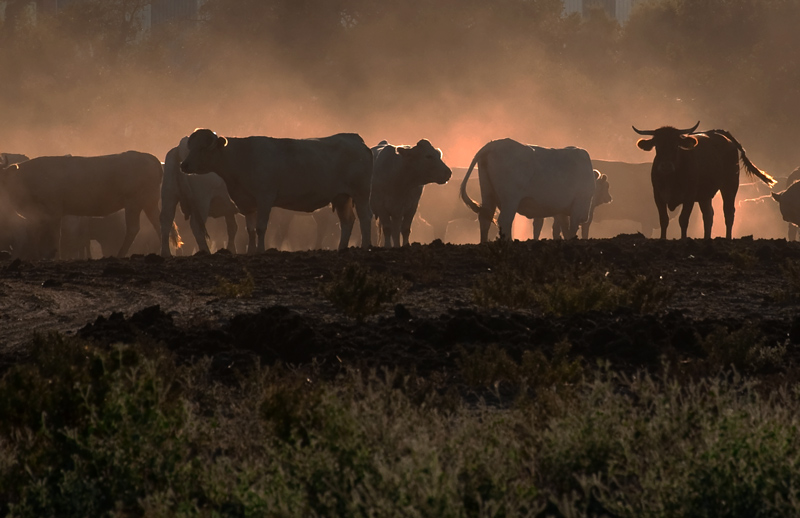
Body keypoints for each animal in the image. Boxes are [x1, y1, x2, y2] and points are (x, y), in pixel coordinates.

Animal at [0, 153, 164, 260]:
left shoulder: (54, 211)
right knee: (159, 223)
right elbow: (36, 234)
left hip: (134, 203)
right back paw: (165, 252)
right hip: (149, 202)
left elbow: (55, 235)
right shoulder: (36, 216)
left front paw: (56, 257)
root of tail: (149, 157)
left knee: (133, 229)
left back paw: (120, 255)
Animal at [180, 129, 374, 253]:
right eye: (191, 146)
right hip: (341, 197)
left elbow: (260, 228)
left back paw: (366, 246)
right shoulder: (247, 203)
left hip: (361, 194)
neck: (242, 157)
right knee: (347, 221)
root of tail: (355, 138)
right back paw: (342, 248)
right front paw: (251, 252)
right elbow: (250, 230)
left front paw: (261, 250)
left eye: (203, 148)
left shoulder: (265, 198)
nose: (184, 164)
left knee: (365, 219)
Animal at [460, 139, 596, 243]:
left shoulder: (561, 210)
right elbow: (571, 228)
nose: (585, 217)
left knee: (485, 218)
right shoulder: (578, 205)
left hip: (488, 193)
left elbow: (564, 228)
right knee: (504, 220)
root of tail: (493, 144)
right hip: (510, 199)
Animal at [632, 123, 776, 241]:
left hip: (730, 184)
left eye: (676, 146)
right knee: (708, 215)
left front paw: (683, 240)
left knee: (728, 212)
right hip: (705, 195)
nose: (666, 165)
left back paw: (728, 238)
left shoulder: (689, 196)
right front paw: (662, 239)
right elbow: (663, 220)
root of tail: (717, 133)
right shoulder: (658, 196)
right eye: (657, 146)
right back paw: (707, 239)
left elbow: (683, 219)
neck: (671, 178)